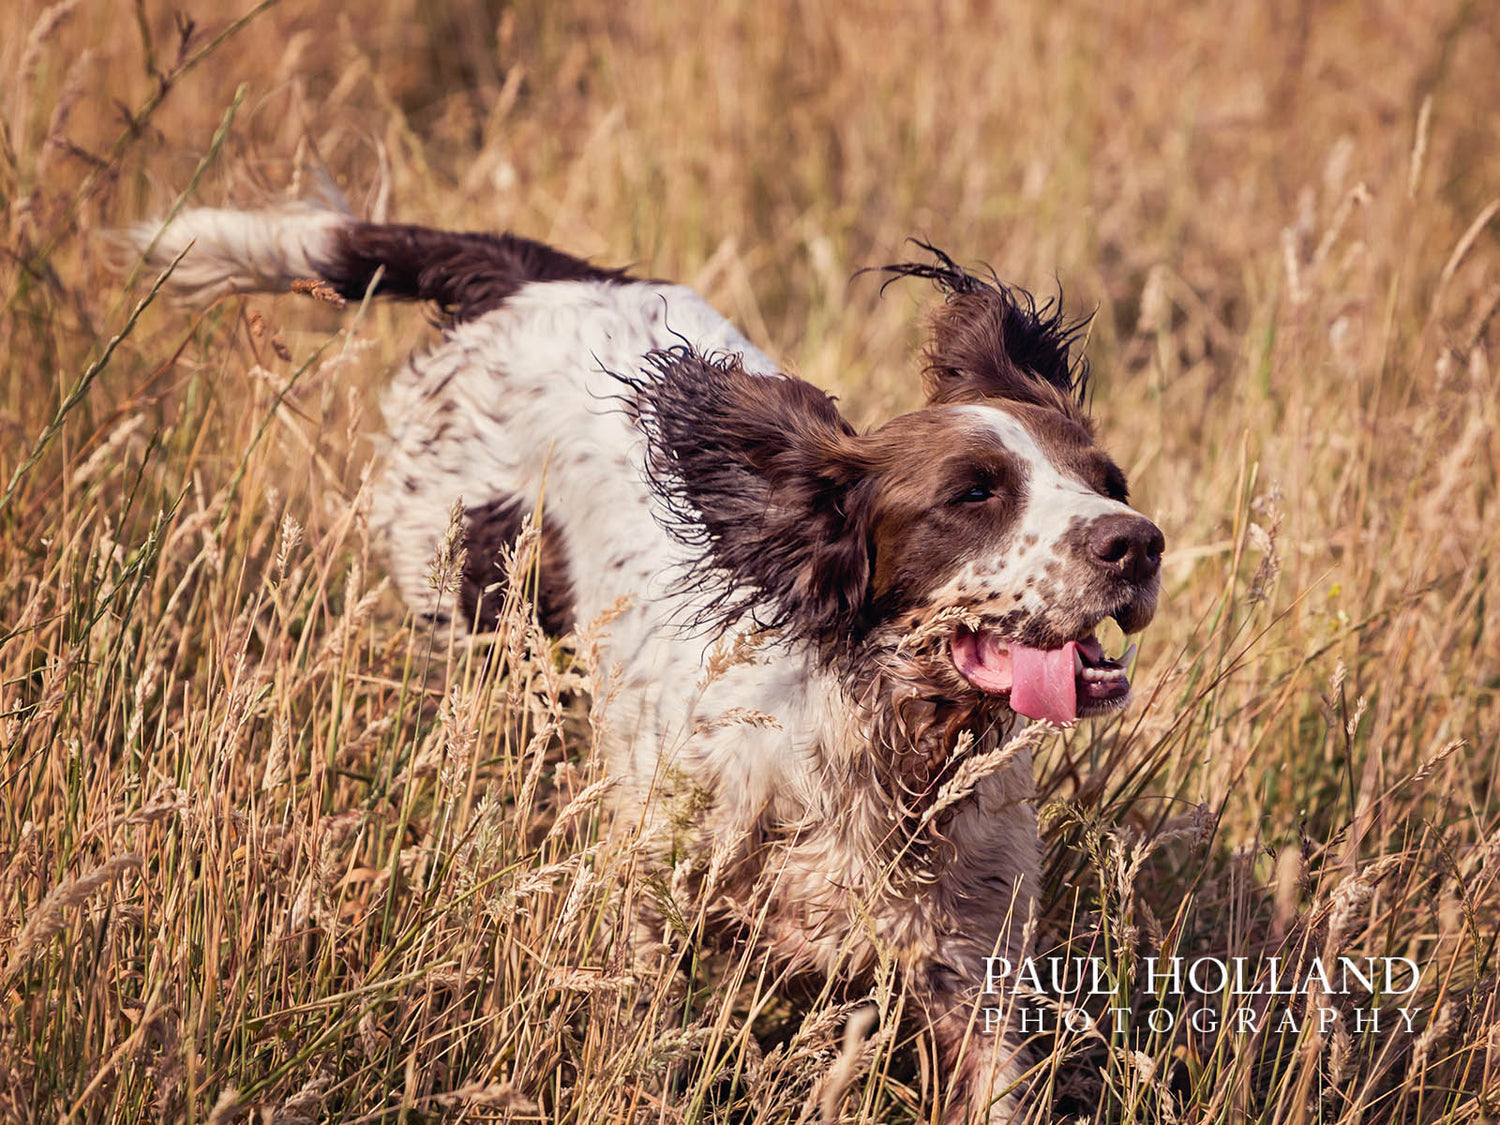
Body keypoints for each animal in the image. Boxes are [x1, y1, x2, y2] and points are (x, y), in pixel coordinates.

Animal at [129, 207, 1164, 1122]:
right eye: (973, 494)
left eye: (1108, 480)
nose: (1138, 542)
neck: (882, 751)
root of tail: (535, 275)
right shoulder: (652, 914)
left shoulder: (971, 970)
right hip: (475, 622)